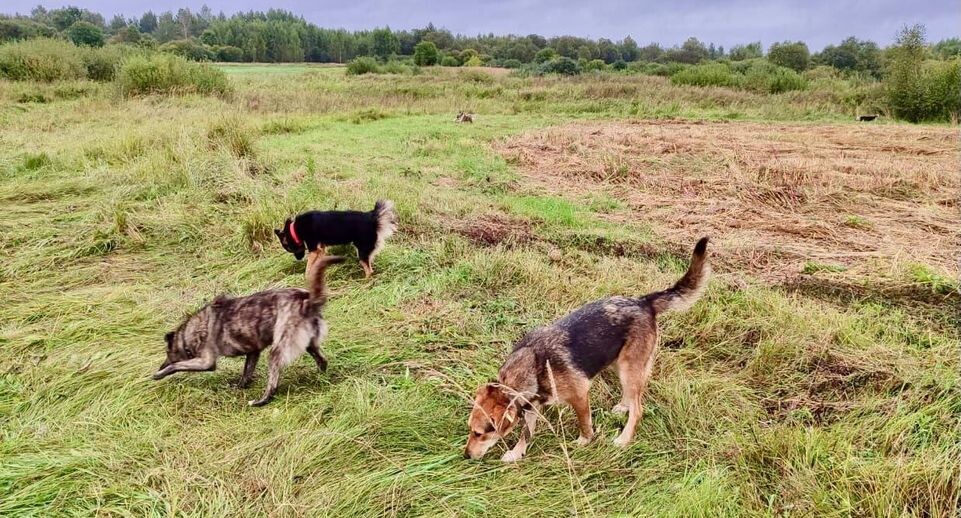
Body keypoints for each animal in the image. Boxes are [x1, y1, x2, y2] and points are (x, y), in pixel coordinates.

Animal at [152, 256, 344, 406]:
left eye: (167, 354)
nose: (160, 365)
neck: (190, 332)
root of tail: (307, 301)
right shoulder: (253, 352)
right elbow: (246, 373)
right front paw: (239, 387)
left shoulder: (206, 362)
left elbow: (177, 366)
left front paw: (160, 373)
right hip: (309, 344)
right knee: (322, 361)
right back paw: (320, 378)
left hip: (277, 351)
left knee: (273, 383)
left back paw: (261, 400)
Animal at [464, 239, 712, 464]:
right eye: (470, 429)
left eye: (479, 433)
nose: (466, 455)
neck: (535, 367)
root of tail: (644, 302)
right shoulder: (531, 406)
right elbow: (527, 432)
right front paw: (517, 453)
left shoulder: (580, 396)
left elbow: (584, 423)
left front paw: (585, 441)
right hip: (619, 363)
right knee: (631, 396)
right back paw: (623, 406)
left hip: (630, 367)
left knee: (638, 409)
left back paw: (624, 439)